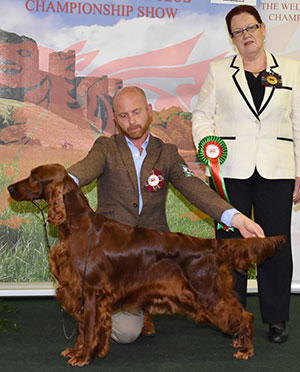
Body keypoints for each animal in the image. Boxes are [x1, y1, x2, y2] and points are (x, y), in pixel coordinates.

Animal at [7, 163, 286, 366]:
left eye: (34, 178)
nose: (9, 188)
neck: (77, 227)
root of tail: (210, 244)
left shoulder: (92, 292)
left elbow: (88, 329)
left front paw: (83, 357)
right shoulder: (80, 293)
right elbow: (82, 328)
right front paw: (77, 351)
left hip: (207, 293)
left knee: (245, 315)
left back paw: (246, 349)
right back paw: (239, 342)